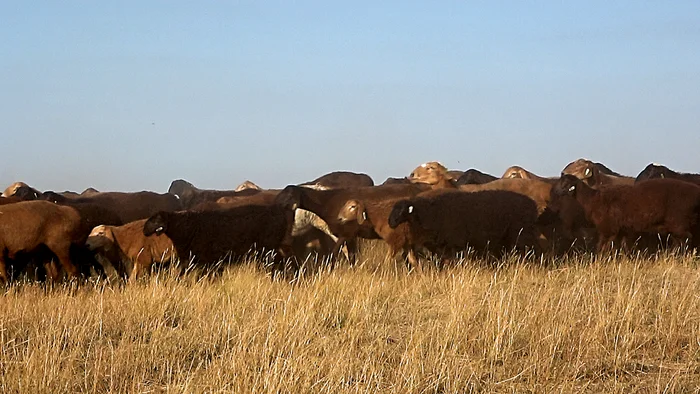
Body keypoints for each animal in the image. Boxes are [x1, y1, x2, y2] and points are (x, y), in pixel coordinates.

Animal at [548, 175, 700, 252]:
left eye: (565, 183)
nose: (553, 192)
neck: (591, 198)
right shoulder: (621, 230)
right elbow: (620, 247)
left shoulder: (607, 229)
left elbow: (601, 247)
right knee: (681, 241)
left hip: (678, 222)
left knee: (686, 239)